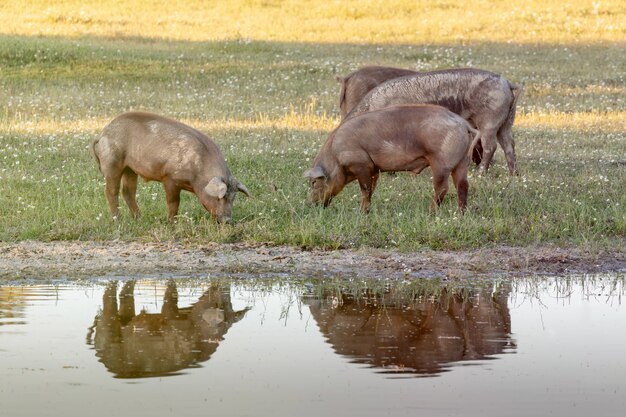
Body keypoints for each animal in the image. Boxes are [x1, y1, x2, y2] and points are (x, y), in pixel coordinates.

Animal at [92, 109, 249, 221]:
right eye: (219, 197)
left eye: (233, 198)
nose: (228, 220)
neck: (197, 177)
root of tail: (102, 133)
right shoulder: (170, 178)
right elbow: (173, 202)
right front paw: (171, 222)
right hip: (112, 162)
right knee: (111, 191)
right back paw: (117, 220)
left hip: (130, 169)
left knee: (128, 191)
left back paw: (139, 218)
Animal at [304, 104, 480, 214]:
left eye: (313, 183)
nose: (310, 205)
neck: (335, 155)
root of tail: (464, 124)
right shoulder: (373, 168)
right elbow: (371, 190)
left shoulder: (360, 163)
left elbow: (365, 190)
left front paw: (361, 213)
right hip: (462, 160)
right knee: (463, 185)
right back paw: (461, 213)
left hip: (441, 160)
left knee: (443, 187)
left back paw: (430, 212)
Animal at [346, 66, 520, 174]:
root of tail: (507, 83)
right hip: (506, 120)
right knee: (509, 144)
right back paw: (514, 175)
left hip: (490, 119)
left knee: (491, 146)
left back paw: (480, 174)